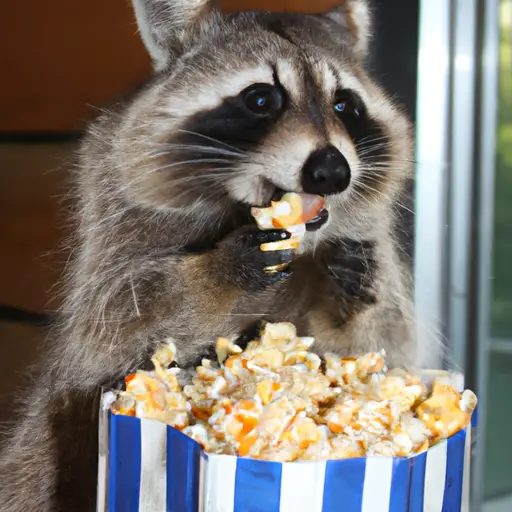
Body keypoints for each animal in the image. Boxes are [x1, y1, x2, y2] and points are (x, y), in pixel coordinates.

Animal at [0, 0, 440, 510]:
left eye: (344, 105)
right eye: (262, 100)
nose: (332, 172)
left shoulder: (369, 245)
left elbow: (380, 344)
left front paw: (351, 292)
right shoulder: (110, 225)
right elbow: (113, 329)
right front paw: (216, 272)